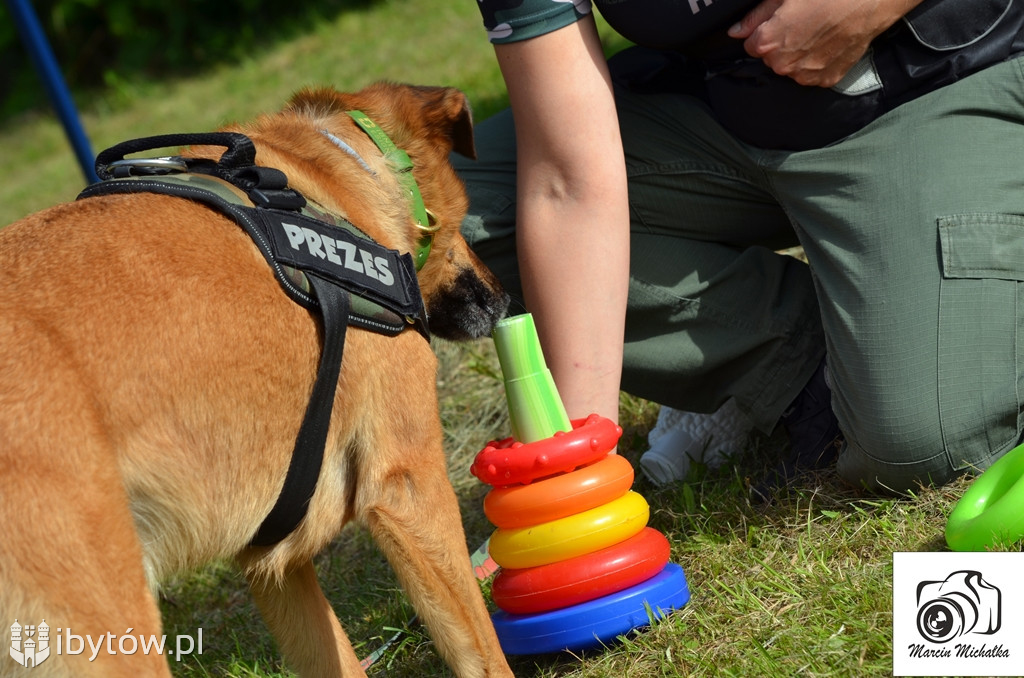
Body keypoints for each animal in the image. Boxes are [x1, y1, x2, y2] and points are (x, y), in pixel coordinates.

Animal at [0, 82, 512, 675]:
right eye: (467, 220)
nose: (505, 299)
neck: (330, 182)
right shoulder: (409, 484)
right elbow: (482, 649)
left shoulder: (271, 559)